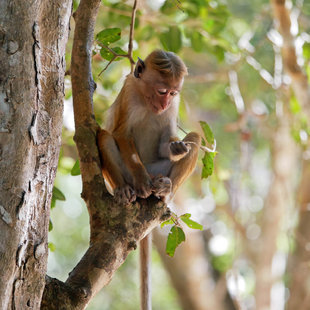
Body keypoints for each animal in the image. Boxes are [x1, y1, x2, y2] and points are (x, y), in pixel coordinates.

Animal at [97, 49, 201, 308]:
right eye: (162, 91)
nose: (164, 104)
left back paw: (165, 191)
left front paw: (176, 147)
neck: (145, 98)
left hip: (158, 169)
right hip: (125, 174)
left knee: (195, 138)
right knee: (104, 136)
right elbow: (121, 134)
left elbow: (167, 142)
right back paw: (126, 189)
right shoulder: (129, 92)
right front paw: (142, 182)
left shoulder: (174, 107)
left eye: (173, 93)